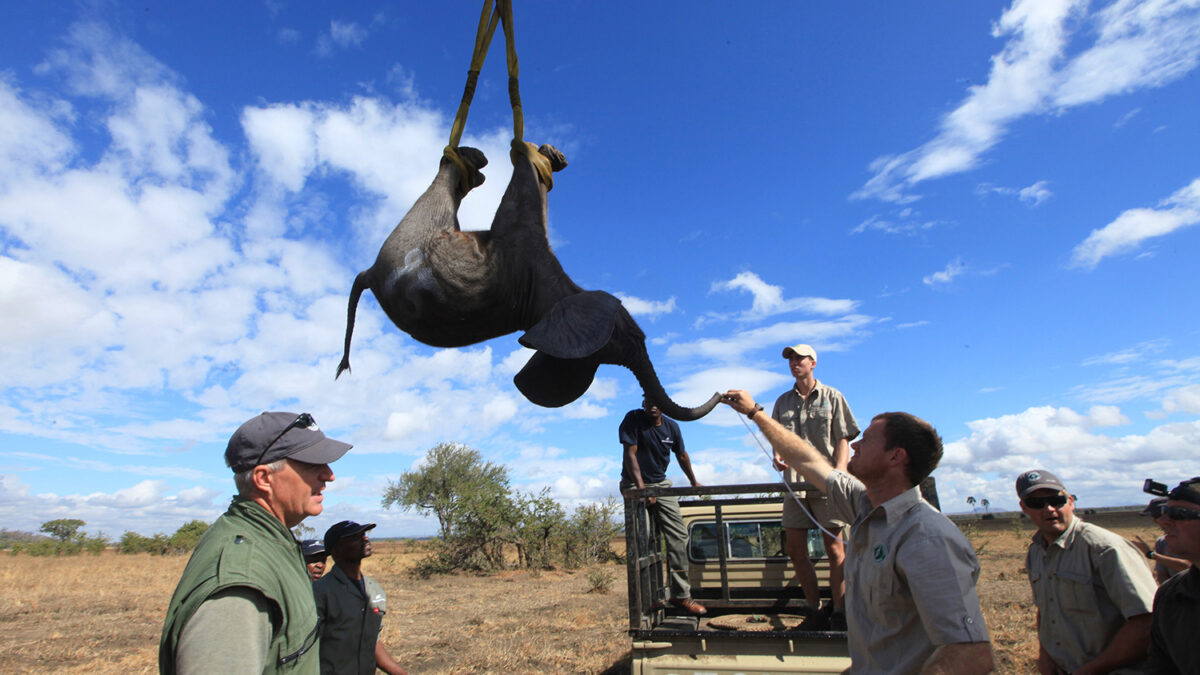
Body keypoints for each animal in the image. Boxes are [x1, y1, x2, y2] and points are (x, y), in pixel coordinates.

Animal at [333, 138, 715, 417]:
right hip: (409, 235)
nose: (720, 392)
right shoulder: (524, 244)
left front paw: (539, 155)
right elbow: (529, 192)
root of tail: (369, 274)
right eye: (636, 336)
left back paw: (471, 164)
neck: (555, 300)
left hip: (411, 233)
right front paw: (543, 155)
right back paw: (474, 160)